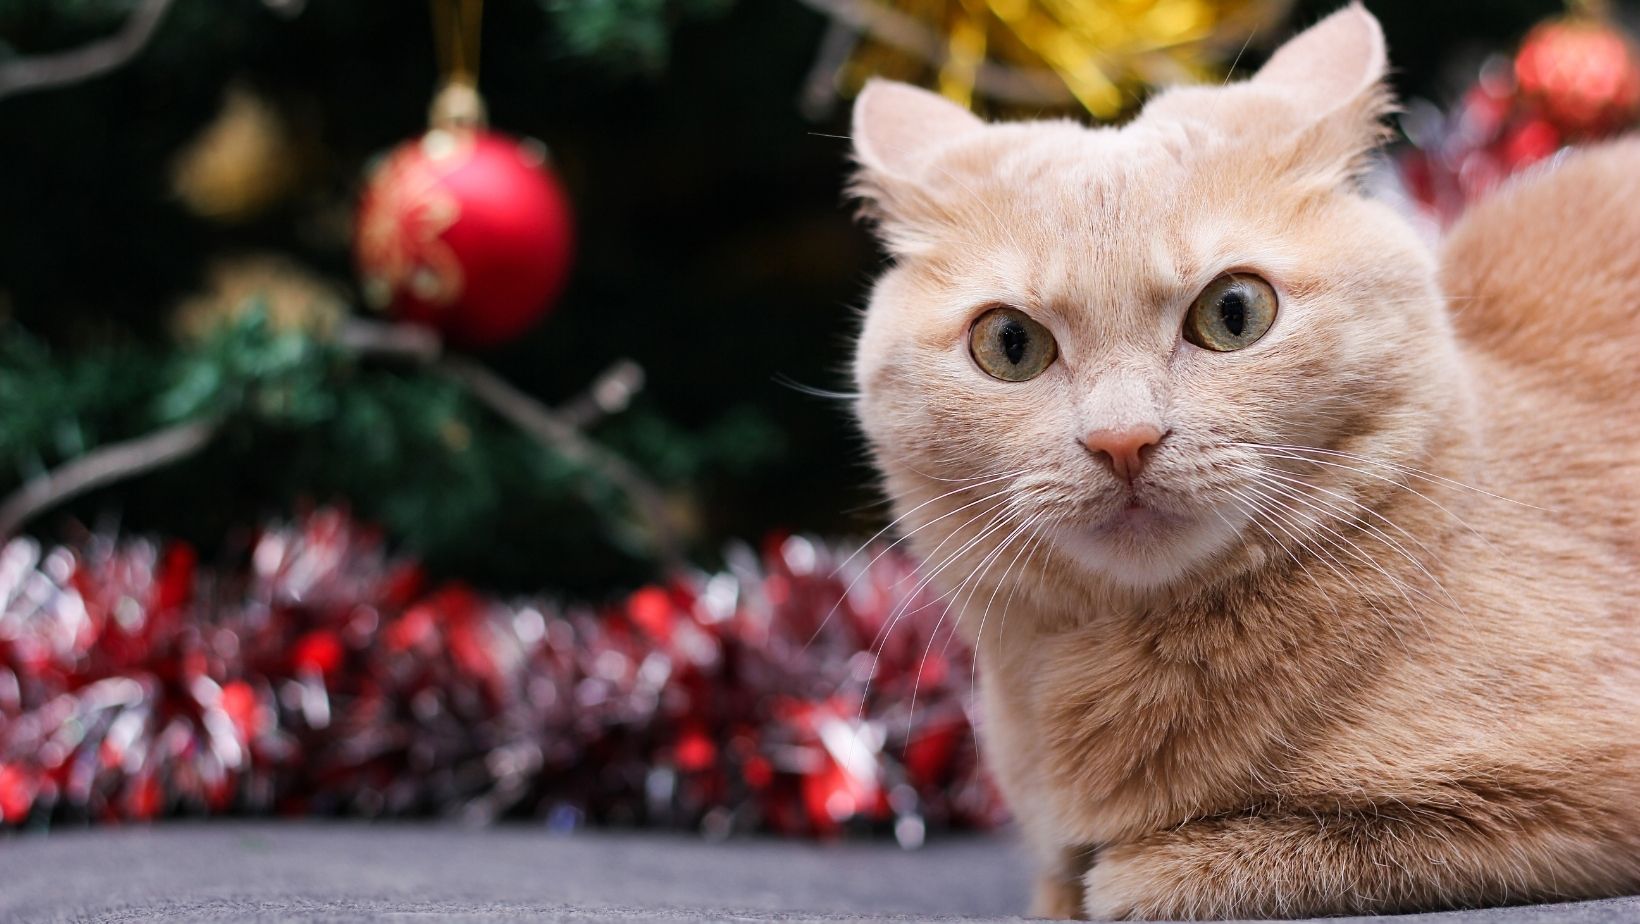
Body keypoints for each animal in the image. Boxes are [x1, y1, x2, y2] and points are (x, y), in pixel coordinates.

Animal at [846, 3, 1640, 919]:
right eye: (1009, 344)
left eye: (1234, 312)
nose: (1123, 439)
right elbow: (1061, 882)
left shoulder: (1569, 805)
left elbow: (1177, 873)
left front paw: (1129, 870)